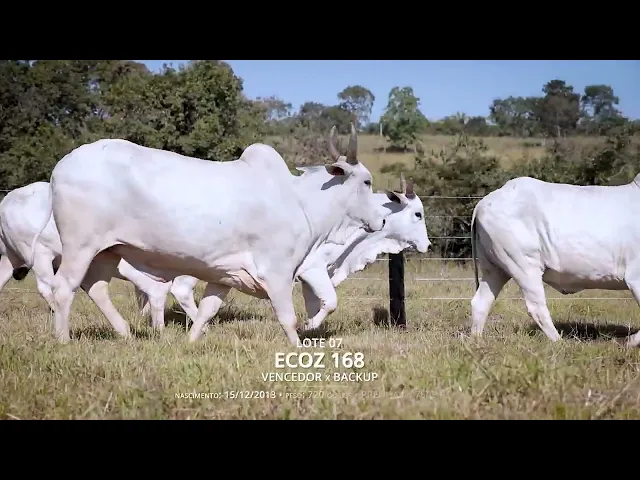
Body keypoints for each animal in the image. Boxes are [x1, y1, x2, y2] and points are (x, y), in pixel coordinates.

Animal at [32, 124, 390, 345]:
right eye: (367, 181)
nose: (383, 220)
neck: (300, 201)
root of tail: (60, 167)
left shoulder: (225, 274)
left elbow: (206, 312)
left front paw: (191, 342)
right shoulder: (277, 272)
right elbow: (287, 318)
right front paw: (298, 348)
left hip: (108, 250)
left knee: (96, 287)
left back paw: (125, 333)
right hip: (80, 246)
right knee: (64, 288)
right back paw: (63, 340)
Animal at [469, 174, 640, 348]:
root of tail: (483, 203)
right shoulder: (635, 277)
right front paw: (629, 341)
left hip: (495, 269)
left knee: (481, 302)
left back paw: (477, 341)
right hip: (524, 266)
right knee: (536, 307)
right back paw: (560, 343)